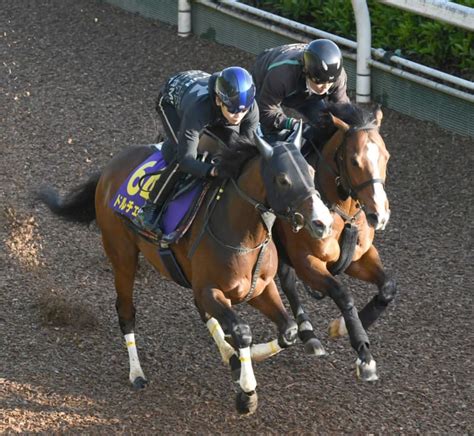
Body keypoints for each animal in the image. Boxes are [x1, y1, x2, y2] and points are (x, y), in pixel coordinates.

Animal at [36, 127, 334, 416]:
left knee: (204, 313)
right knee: (126, 311)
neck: (243, 235)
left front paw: (245, 358)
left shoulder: (259, 288)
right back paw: (137, 372)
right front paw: (247, 393)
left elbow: (288, 330)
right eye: (283, 179)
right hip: (122, 255)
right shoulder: (211, 290)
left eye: (311, 171)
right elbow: (242, 331)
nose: (323, 223)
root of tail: (110, 168)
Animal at [274, 103, 396, 382]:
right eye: (354, 160)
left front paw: (341, 327)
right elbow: (342, 294)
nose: (379, 215)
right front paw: (364, 354)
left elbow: (387, 286)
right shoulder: (307, 262)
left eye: (386, 156)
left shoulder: (357, 257)